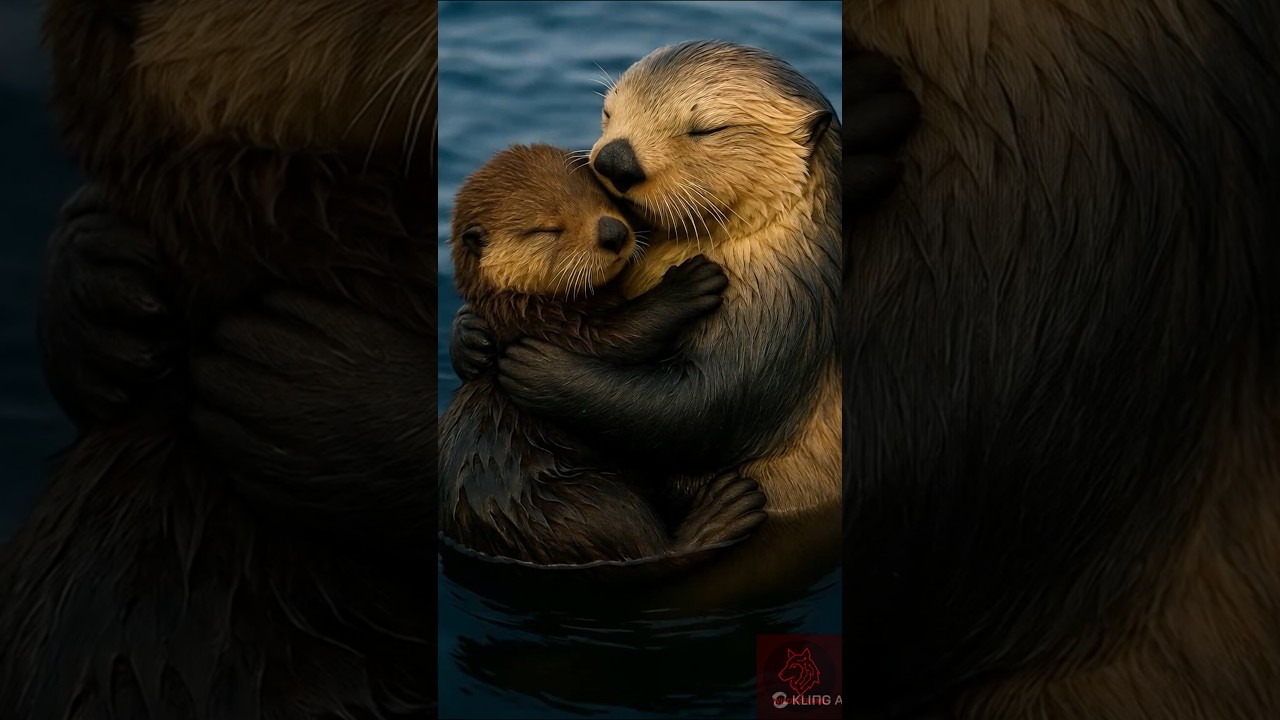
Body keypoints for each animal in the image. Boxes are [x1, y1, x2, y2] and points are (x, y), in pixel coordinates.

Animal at [440, 143, 767, 569]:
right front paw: (687, 284)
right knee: (648, 544)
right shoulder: (553, 329)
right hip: (580, 508)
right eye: (546, 230)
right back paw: (725, 511)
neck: (523, 306)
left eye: (599, 195)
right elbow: (624, 335)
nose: (613, 232)